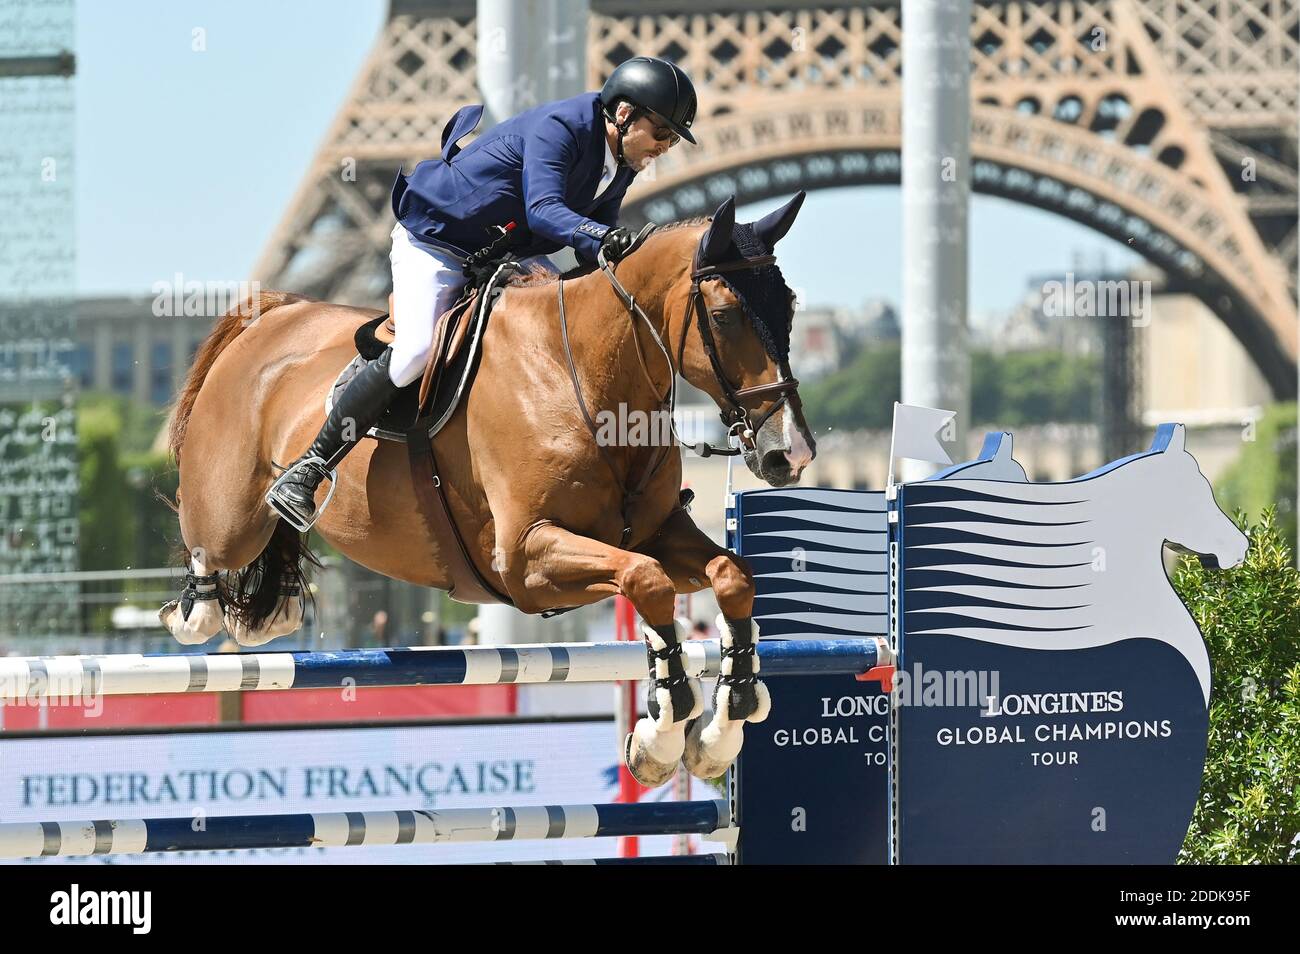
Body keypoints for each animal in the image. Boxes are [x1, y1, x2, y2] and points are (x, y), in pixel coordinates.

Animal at [159, 192, 811, 785]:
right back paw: (204, 606)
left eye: (790, 305)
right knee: (207, 541)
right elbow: (645, 579)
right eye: (724, 316)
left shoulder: (654, 533)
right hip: (232, 516)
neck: (583, 374)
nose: (790, 453)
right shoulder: (525, 559)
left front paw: (719, 729)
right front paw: (664, 731)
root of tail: (273, 314)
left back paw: (274, 607)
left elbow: (728, 574)